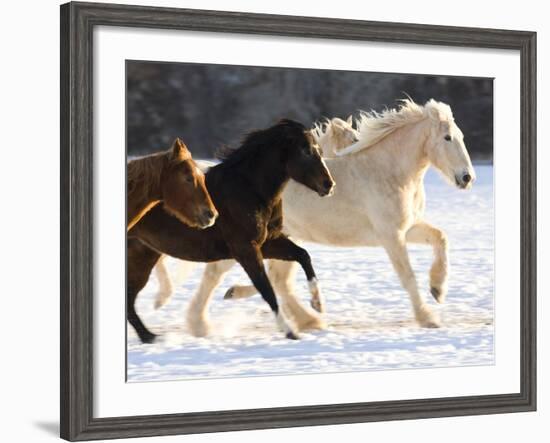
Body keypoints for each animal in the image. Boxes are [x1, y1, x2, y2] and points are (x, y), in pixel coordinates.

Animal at [129, 119, 336, 346]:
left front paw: (317, 303)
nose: (329, 184)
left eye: (319, 150)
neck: (249, 190)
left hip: (144, 256)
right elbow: (266, 289)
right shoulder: (245, 249)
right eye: (305, 150)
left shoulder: (269, 242)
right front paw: (290, 331)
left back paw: (149, 336)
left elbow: (303, 255)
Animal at [162, 99, 476, 336]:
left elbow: (440, 238)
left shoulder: (406, 228)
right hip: (247, 242)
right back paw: (201, 325)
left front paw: (438, 289)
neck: (388, 172)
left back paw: (308, 319)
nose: (467, 178)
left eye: (461, 137)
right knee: (218, 274)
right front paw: (428, 318)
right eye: (447, 137)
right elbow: (407, 276)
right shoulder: (391, 236)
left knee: (278, 280)